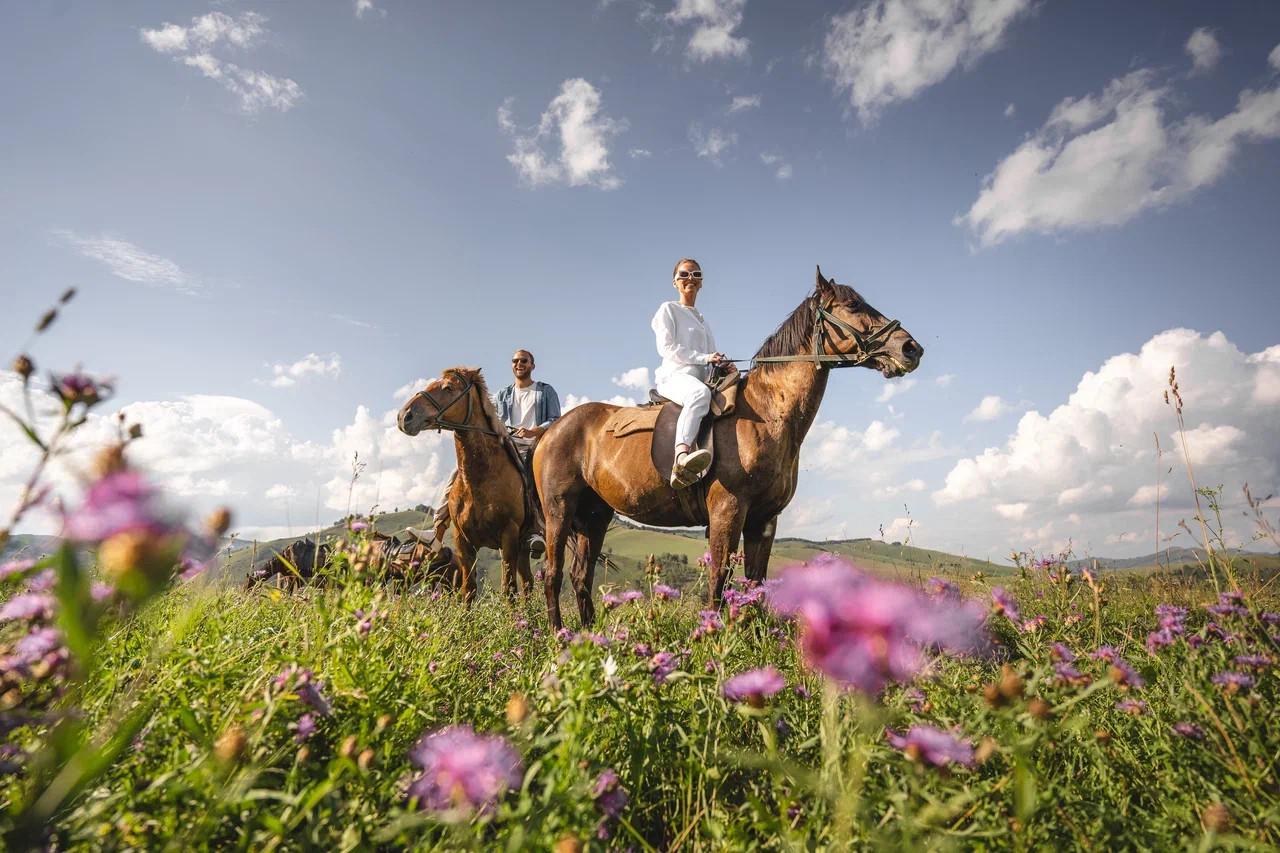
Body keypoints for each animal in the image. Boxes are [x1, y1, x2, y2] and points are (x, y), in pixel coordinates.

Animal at [394, 366, 535, 596]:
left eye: (448, 388)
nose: (404, 416)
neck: (480, 479)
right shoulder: (463, 541)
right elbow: (468, 589)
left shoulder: (509, 537)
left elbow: (508, 589)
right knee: (528, 582)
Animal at [529, 268, 921, 627]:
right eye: (853, 305)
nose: (910, 347)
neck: (767, 411)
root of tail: (551, 431)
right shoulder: (728, 511)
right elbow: (720, 580)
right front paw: (714, 637)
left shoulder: (764, 519)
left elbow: (755, 584)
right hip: (559, 512)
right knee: (553, 574)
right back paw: (558, 636)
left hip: (594, 517)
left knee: (581, 577)